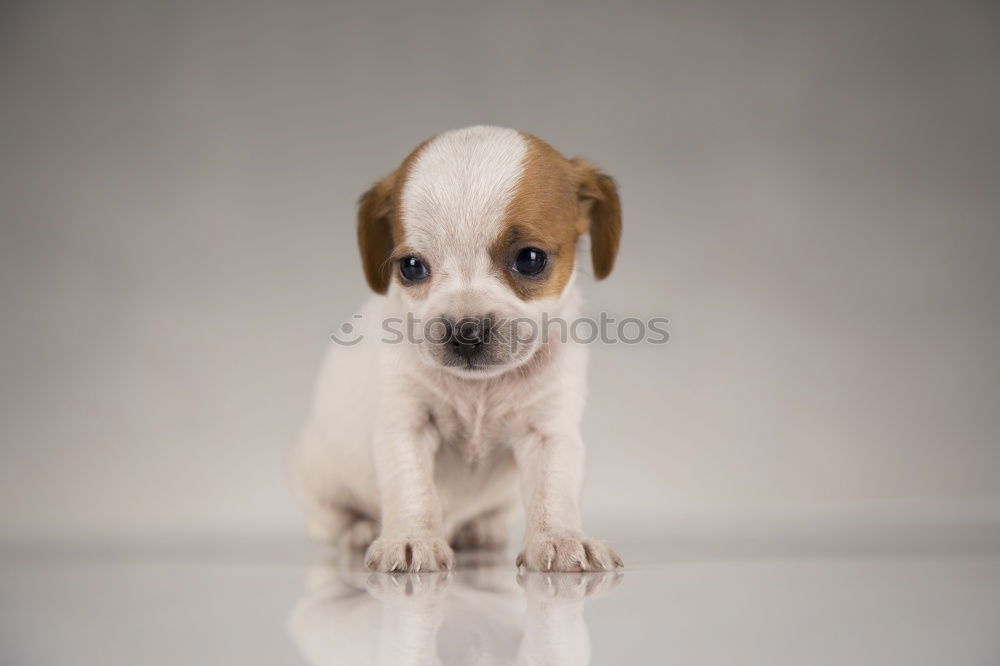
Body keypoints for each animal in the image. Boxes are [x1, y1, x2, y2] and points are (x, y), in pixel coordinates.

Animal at [292, 124, 624, 572]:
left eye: (530, 259)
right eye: (411, 267)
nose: (465, 330)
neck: (479, 390)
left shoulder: (548, 432)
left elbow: (552, 492)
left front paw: (559, 538)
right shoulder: (407, 425)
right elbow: (412, 485)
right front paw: (411, 538)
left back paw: (479, 530)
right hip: (317, 478)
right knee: (334, 519)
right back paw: (360, 531)